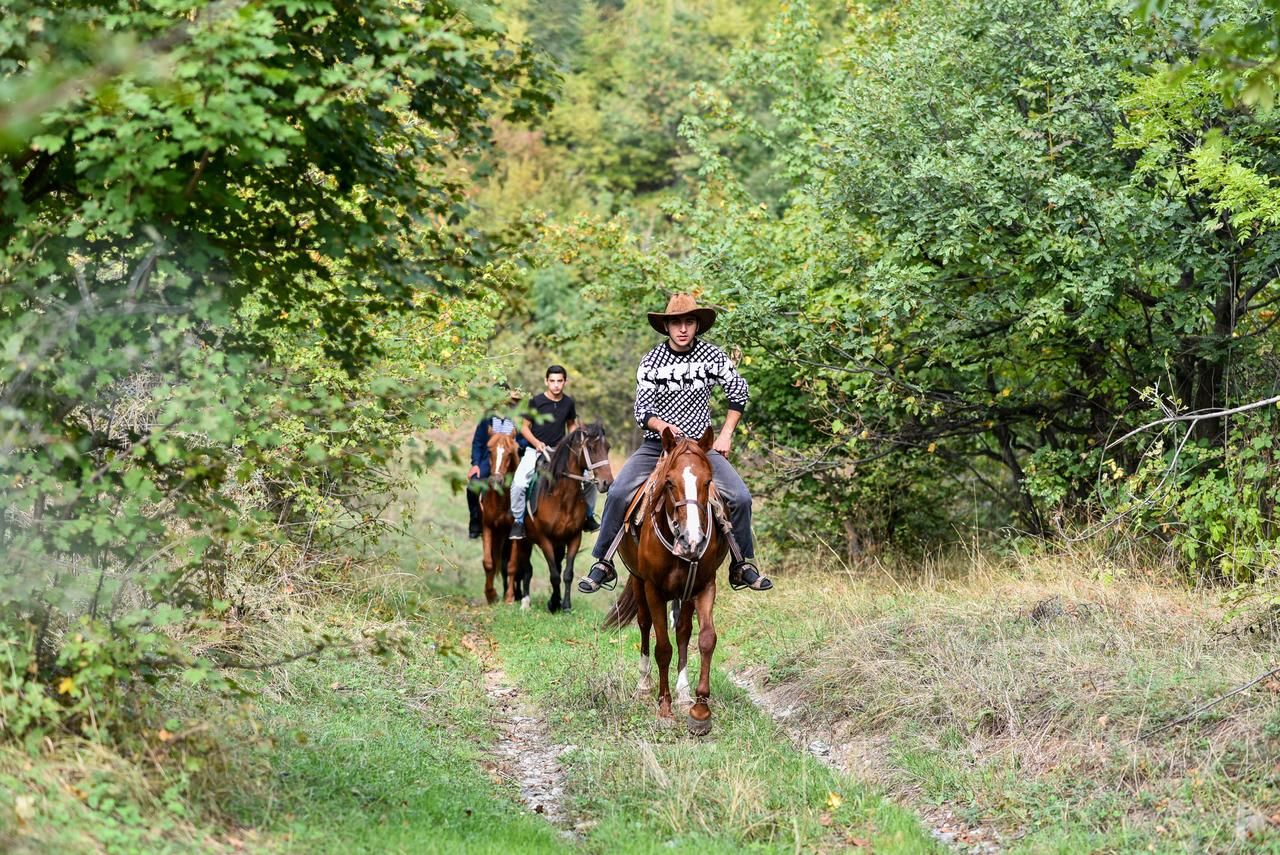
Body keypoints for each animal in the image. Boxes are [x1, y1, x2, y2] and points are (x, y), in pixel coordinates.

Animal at [519, 424, 619, 614]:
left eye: (608, 447)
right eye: (592, 448)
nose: (607, 483)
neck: (561, 497)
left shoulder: (573, 537)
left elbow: (567, 573)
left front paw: (564, 605)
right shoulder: (544, 539)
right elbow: (554, 575)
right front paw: (554, 604)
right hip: (524, 541)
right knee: (526, 568)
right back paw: (525, 601)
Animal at [601, 427, 727, 737]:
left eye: (708, 481)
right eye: (669, 483)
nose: (692, 541)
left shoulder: (704, 586)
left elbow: (705, 639)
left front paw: (700, 712)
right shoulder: (653, 589)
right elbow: (662, 648)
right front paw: (664, 710)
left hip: (684, 592)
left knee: (682, 631)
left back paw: (683, 694)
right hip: (638, 582)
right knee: (645, 626)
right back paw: (644, 686)